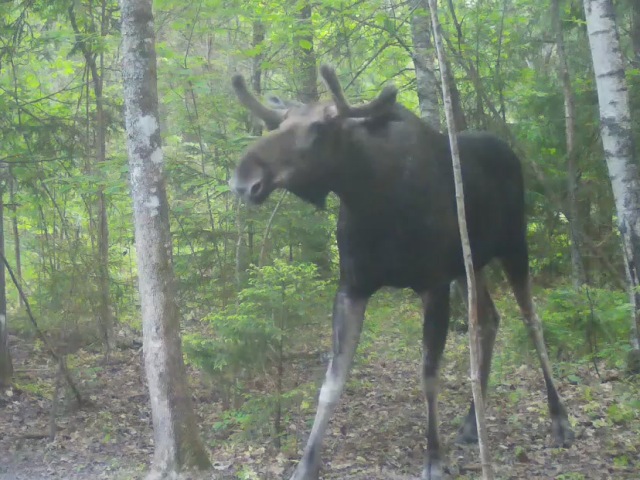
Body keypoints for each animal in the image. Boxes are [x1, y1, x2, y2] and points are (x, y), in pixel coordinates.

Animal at [228, 65, 574, 480]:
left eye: (319, 129)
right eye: (278, 124)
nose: (244, 177)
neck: (373, 201)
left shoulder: (434, 285)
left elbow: (429, 377)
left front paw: (433, 458)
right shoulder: (352, 287)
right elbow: (331, 383)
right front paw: (306, 464)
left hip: (514, 246)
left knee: (531, 321)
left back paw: (559, 419)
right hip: (469, 266)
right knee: (490, 319)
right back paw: (472, 423)